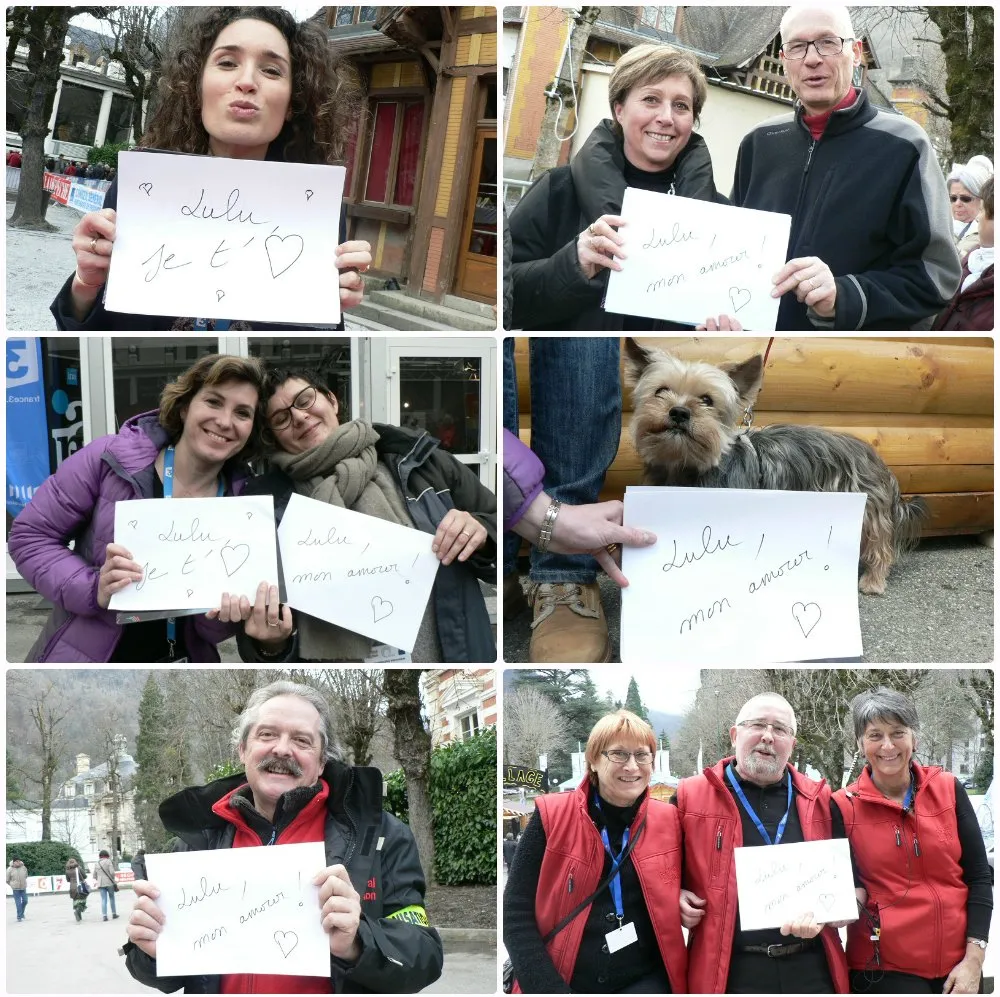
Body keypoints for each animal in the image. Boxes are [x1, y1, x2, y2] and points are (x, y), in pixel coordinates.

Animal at [624, 338, 928, 596]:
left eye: (707, 400)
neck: (685, 464)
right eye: (661, 391)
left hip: (866, 509)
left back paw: (872, 581)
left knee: (881, 547)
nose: (678, 412)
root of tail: (877, 460)